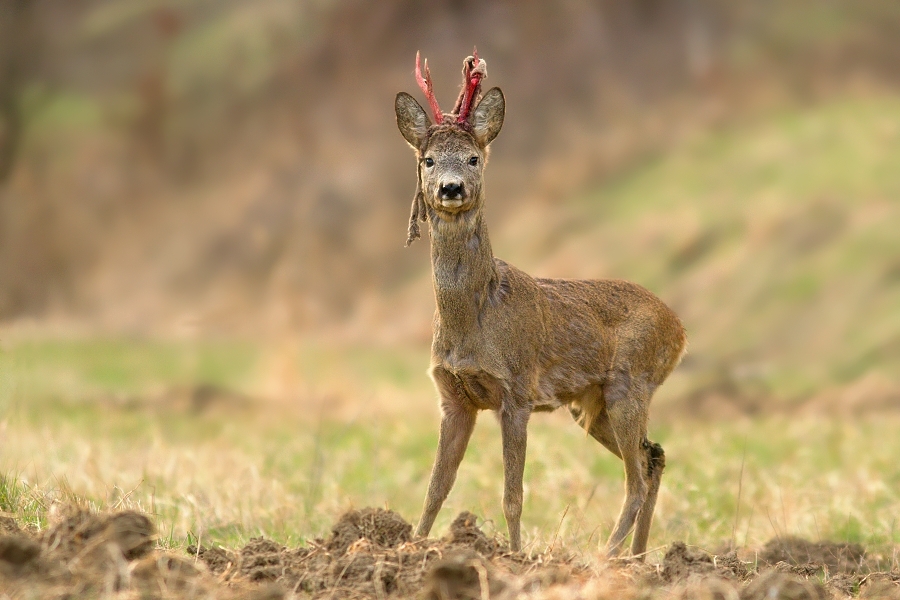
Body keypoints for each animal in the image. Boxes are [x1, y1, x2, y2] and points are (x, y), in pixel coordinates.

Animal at [396, 51, 688, 556]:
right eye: (428, 160)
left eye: (474, 158)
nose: (451, 188)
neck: (472, 320)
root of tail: (681, 328)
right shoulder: (453, 397)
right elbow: (436, 487)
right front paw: (412, 548)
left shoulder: (517, 390)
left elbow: (512, 494)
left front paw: (514, 556)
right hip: (592, 405)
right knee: (653, 457)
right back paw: (639, 556)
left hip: (630, 385)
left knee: (635, 476)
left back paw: (608, 556)